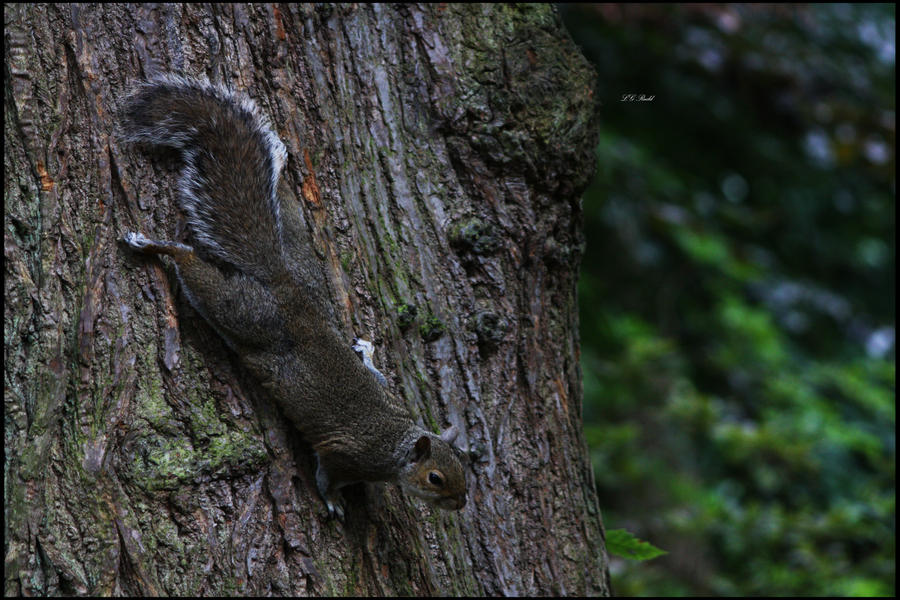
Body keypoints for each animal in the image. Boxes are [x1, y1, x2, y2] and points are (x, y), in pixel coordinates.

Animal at [119, 72, 468, 516]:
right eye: (435, 478)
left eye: (462, 463)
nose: (461, 502)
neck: (395, 442)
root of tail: (284, 283)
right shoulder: (345, 454)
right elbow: (328, 475)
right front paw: (333, 500)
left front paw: (367, 353)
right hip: (248, 314)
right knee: (192, 265)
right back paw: (150, 245)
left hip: (298, 250)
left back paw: (282, 159)